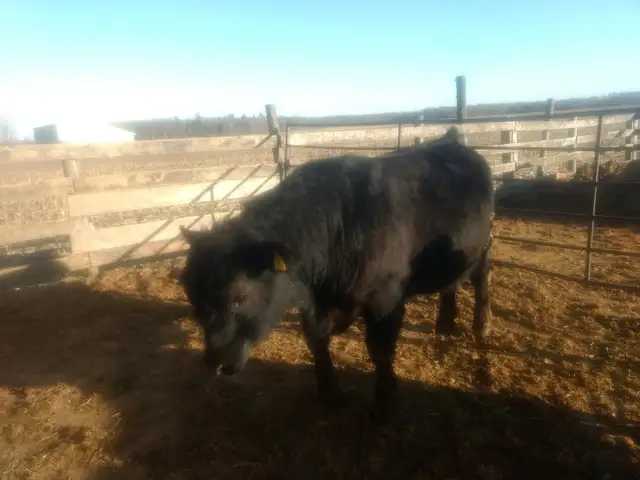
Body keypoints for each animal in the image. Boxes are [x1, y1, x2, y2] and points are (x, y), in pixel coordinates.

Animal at [178, 127, 495, 421]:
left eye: (240, 295)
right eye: (191, 294)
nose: (215, 361)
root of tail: (451, 139)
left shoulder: (385, 299)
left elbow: (379, 350)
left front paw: (384, 402)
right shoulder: (314, 304)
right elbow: (317, 342)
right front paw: (329, 392)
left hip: (481, 245)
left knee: (480, 277)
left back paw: (481, 326)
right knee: (450, 284)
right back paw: (445, 323)